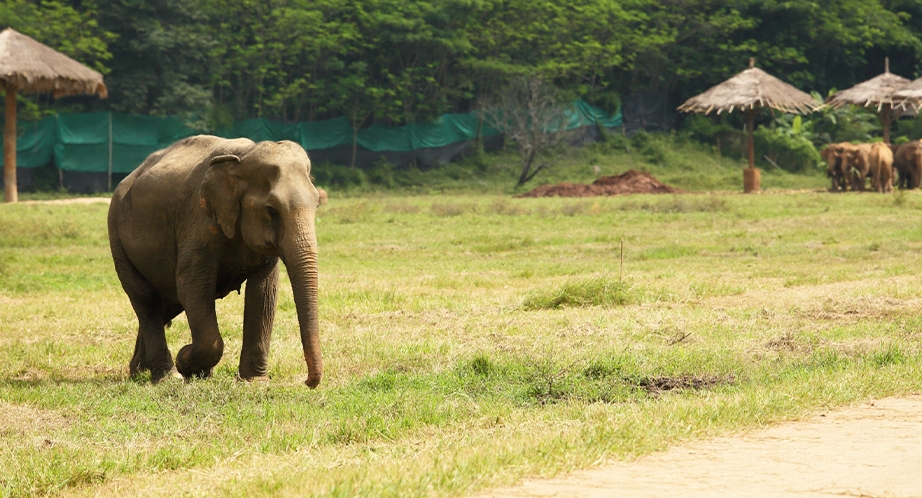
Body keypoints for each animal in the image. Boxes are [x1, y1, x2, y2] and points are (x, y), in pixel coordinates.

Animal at [106, 134, 324, 388]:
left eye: (317, 203)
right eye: (271, 210)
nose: (308, 382)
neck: (244, 157)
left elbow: (263, 293)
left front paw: (253, 381)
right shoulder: (199, 224)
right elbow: (192, 286)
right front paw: (185, 360)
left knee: (165, 305)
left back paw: (140, 371)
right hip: (118, 239)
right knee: (146, 301)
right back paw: (167, 376)